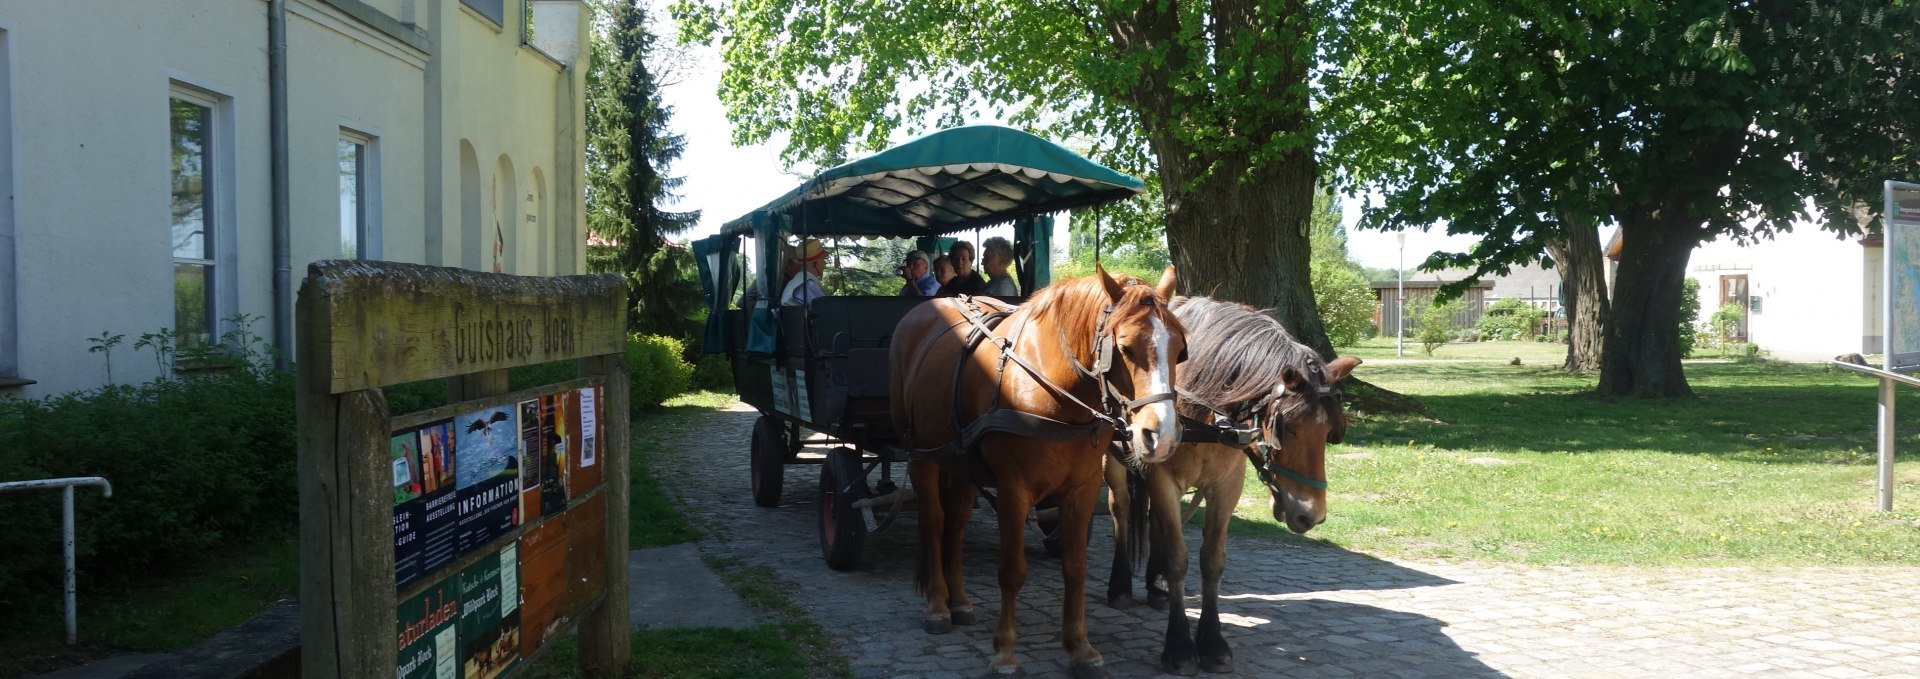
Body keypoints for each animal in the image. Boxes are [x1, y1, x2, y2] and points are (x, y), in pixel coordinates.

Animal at [894, 266, 1182, 679]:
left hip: (961, 463)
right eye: (1125, 348)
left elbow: (1075, 567)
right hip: (922, 455)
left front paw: (1080, 648)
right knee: (934, 521)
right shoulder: (1014, 490)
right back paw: (937, 604)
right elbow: (1012, 570)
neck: (1054, 388)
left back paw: (959, 601)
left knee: (957, 522)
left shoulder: (1081, 490)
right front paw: (1005, 652)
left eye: (1179, 349)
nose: (1163, 435)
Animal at [1105, 297, 1359, 675]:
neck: (1208, 418)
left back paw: (1157, 586)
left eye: (1330, 431)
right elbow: (1178, 558)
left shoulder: (1227, 486)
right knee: (1120, 509)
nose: (1311, 514)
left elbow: (1212, 561)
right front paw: (1180, 647)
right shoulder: (1162, 478)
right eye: (1289, 428)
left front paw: (1212, 643)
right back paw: (1120, 585)